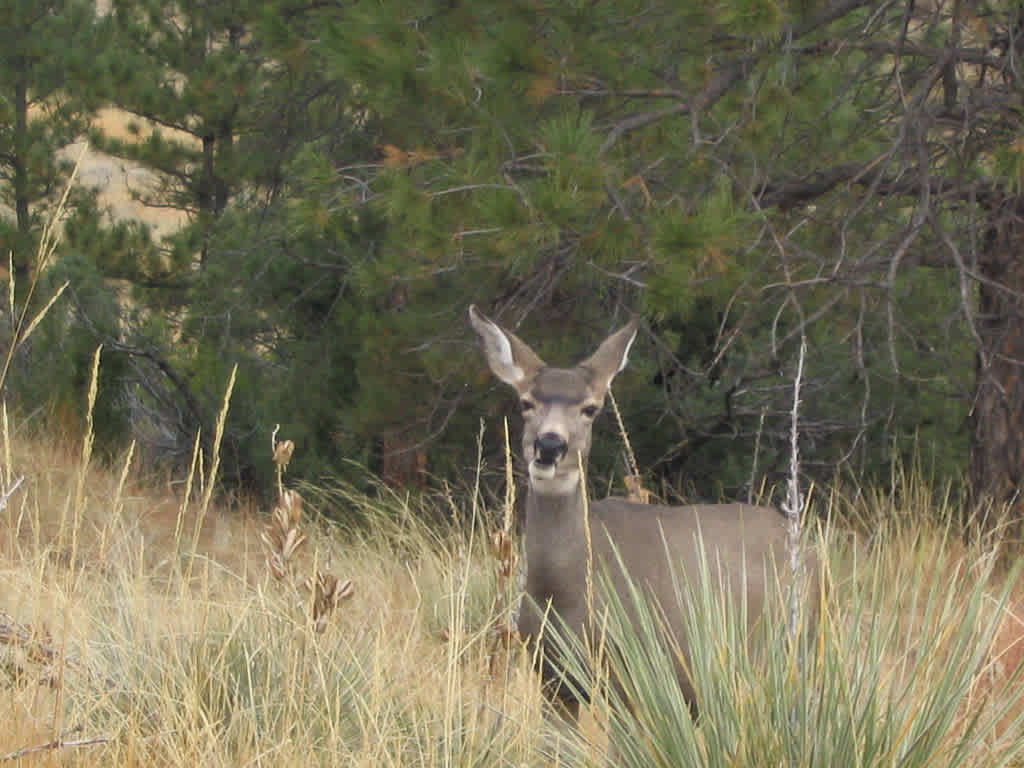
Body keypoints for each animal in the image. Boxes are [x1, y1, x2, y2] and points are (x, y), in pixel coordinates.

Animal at [468, 303, 815, 724]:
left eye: (590, 408)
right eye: (525, 402)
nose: (550, 446)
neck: (569, 592)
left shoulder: (637, 675)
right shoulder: (553, 679)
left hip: (793, 650)